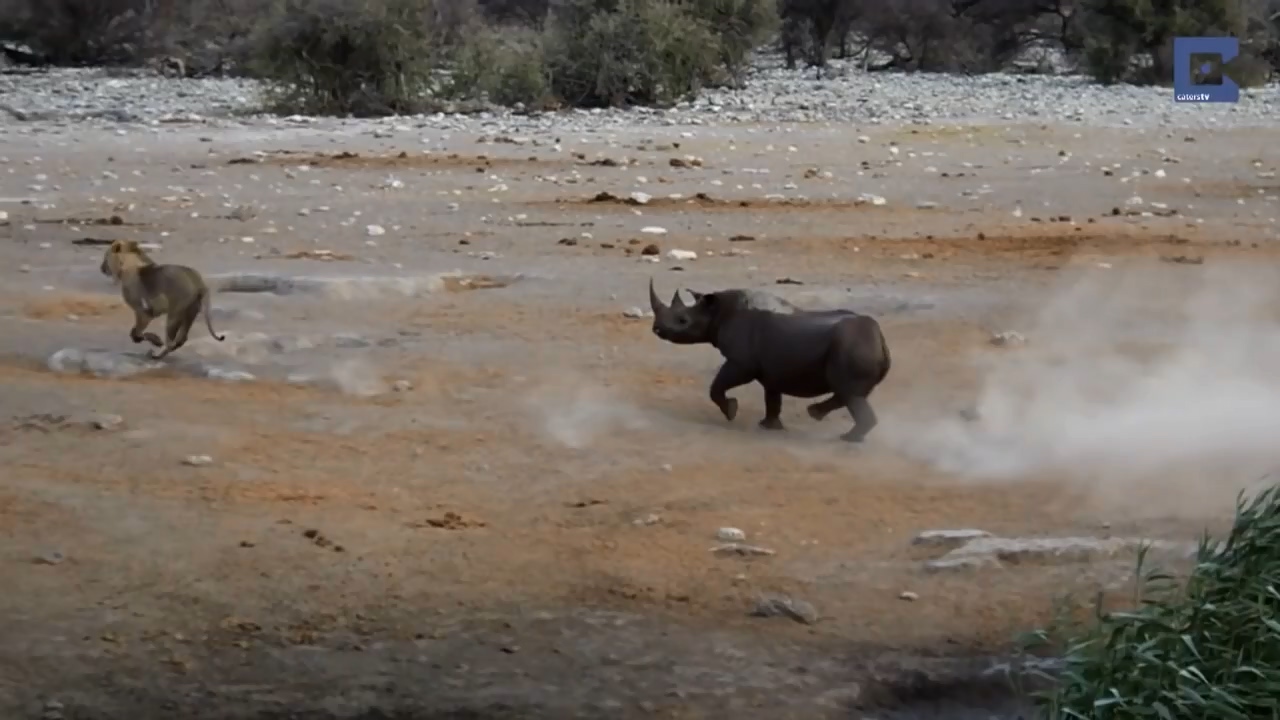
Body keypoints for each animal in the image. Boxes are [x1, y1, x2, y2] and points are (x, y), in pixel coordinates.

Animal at [648, 279, 891, 442]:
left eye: (682, 320)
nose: (656, 329)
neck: (716, 312)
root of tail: (880, 339)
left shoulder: (742, 363)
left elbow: (717, 386)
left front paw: (731, 412)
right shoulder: (773, 369)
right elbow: (772, 398)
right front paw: (769, 426)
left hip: (852, 346)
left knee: (850, 393)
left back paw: (847, 439)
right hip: (856, 347)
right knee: (849, 392)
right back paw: (817, 415)